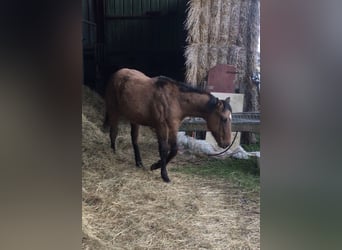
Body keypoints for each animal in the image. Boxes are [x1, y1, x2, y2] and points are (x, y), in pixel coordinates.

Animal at [104, 68, 232, 182]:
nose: (226, 143)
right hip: (114, 111)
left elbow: (174, 150)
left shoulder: (173, 127)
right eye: (224, 119)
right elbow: (164, 149)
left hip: (135, 118)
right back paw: (113, 153)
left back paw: (139, 163)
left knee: (134, 139)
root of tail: (117, 73)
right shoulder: (161, 126)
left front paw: (155, 165)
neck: (175, 100)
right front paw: (163, 174)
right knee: (113, 132)